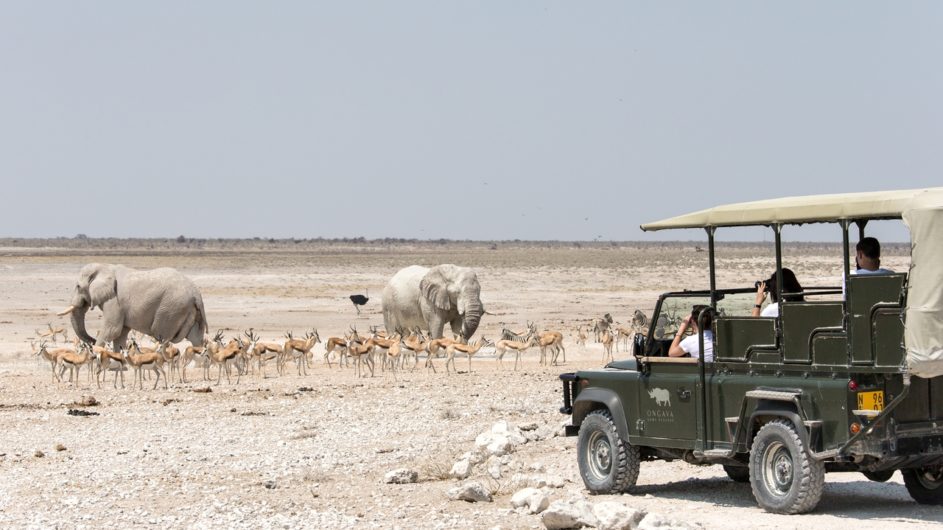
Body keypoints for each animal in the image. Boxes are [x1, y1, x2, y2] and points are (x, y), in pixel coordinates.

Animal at [59, 262, 208, 348]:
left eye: (78, 286)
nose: (92, 340)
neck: (106, 267)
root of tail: (196, 293)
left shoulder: (115, 300)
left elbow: (112, 330)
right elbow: (121, 333)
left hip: (171, 308)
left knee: (162, 336)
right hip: (187, 309)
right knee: (195, 337)